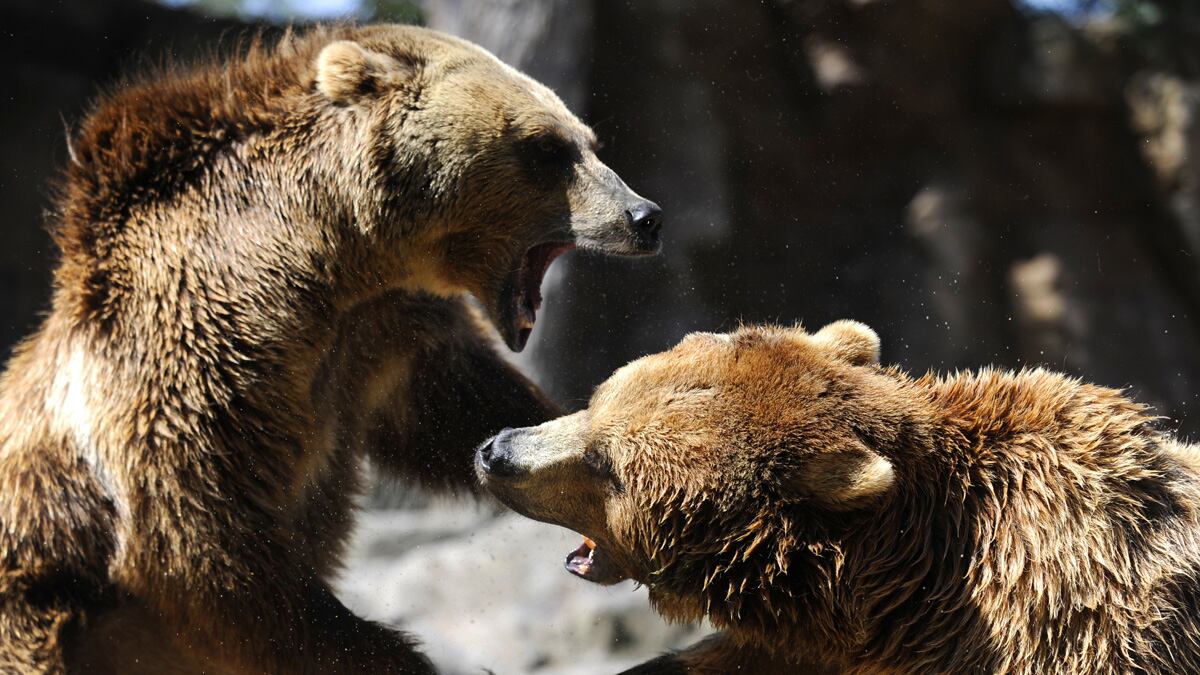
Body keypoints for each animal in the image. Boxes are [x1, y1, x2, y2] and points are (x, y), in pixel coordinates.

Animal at [0, 23, 663, 674]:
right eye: (546, 148)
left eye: (588, 139)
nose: (645, 215)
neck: (326, 261)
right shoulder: (189, 356)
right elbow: (201, 549)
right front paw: (387, 655)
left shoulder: (388, 332)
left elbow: (452, 409)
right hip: (39, 610)